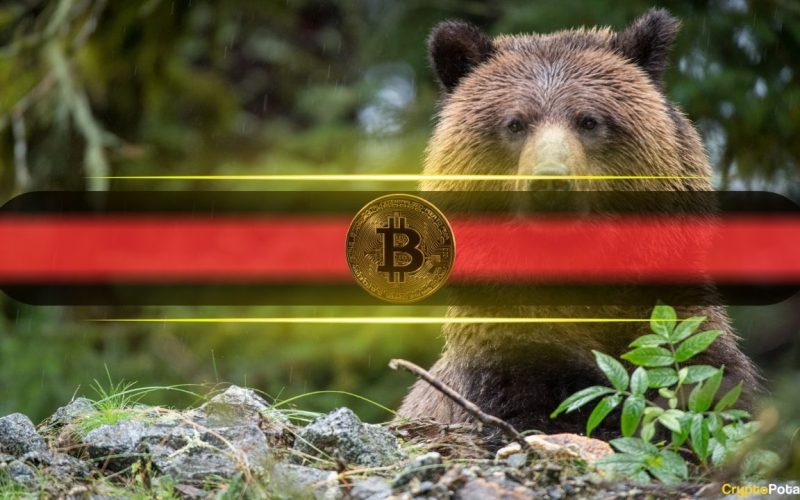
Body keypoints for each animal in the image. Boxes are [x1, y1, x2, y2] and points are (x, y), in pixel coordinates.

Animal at [398, 9, 759, 440]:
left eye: (588, 120)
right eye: (515, 123)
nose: (551, 182)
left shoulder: (675, 318)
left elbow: (711, 384)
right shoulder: (505, 347)